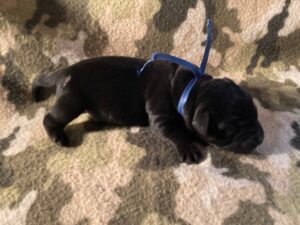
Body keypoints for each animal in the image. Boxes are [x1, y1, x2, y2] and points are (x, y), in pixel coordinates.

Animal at [31, 56, 264, 163]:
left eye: (255, 112)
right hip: (71, 101)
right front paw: (188, 147)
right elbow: (176, 132)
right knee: (50, 117)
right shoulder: (162, 116)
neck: (191, 89)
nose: (260, 137)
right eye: (231, 128)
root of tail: (63, 71)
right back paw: (58, 136)